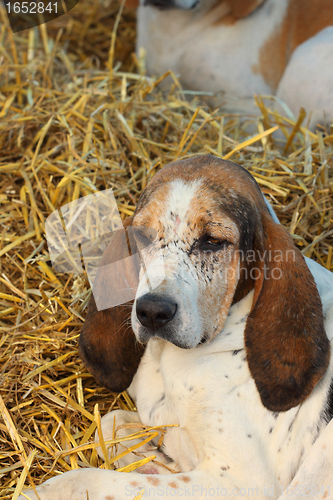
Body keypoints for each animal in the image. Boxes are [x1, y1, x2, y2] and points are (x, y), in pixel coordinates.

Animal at [18, 154, 333, 498]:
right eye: (142, 236)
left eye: (212, 241)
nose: (152, 312)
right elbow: (111, 422)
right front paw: (151, 458)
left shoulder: (240, 483)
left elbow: (88, 479)